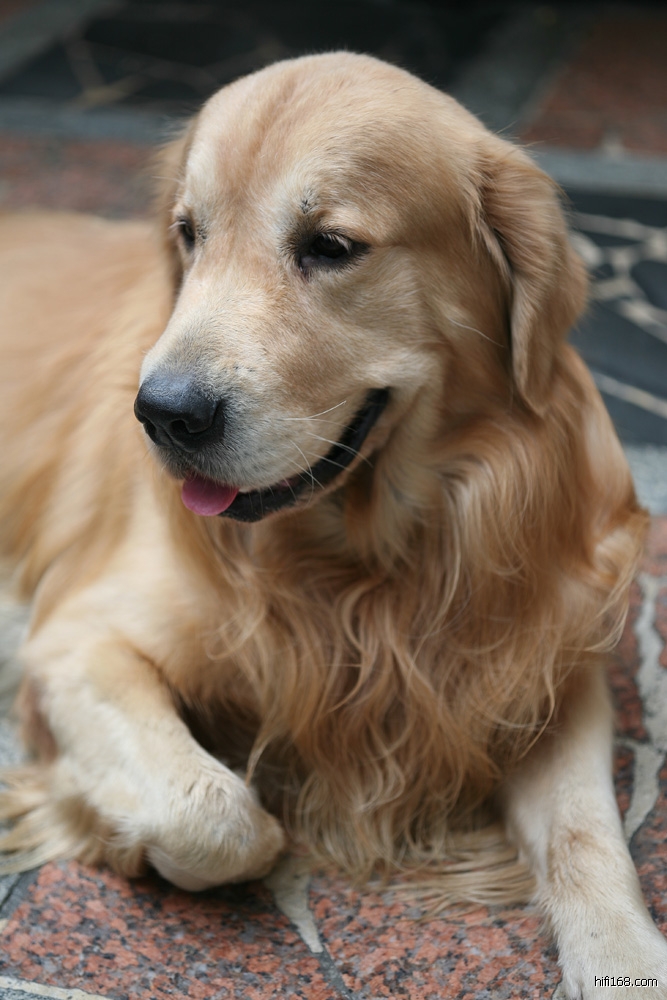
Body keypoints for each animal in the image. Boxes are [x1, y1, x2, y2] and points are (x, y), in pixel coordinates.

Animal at [0, 52, 665, 998]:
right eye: (189, 233)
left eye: (331, 247)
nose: (162, 413)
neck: (367, 566)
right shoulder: (76, 640)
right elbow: (219, 816)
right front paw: (116, 833)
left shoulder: (547, 660)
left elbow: (588, 831)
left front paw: (623, 957)